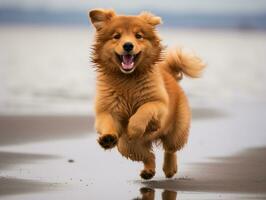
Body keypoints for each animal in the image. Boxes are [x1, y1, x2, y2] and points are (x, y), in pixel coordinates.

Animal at [88, 9, 205, 180]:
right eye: (116, 36)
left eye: (138, 36)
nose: (128, 45)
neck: (128, 80)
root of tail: (169, 72)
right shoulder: (107, 109)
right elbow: (107, 121)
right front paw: (108, 138)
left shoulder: (160, 104)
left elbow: (144, 109)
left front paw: (134, 128)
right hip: (126, 146)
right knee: (148, 156)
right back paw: (148, 171)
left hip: (177, 131)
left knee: (170, 149)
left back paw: (170, 168)